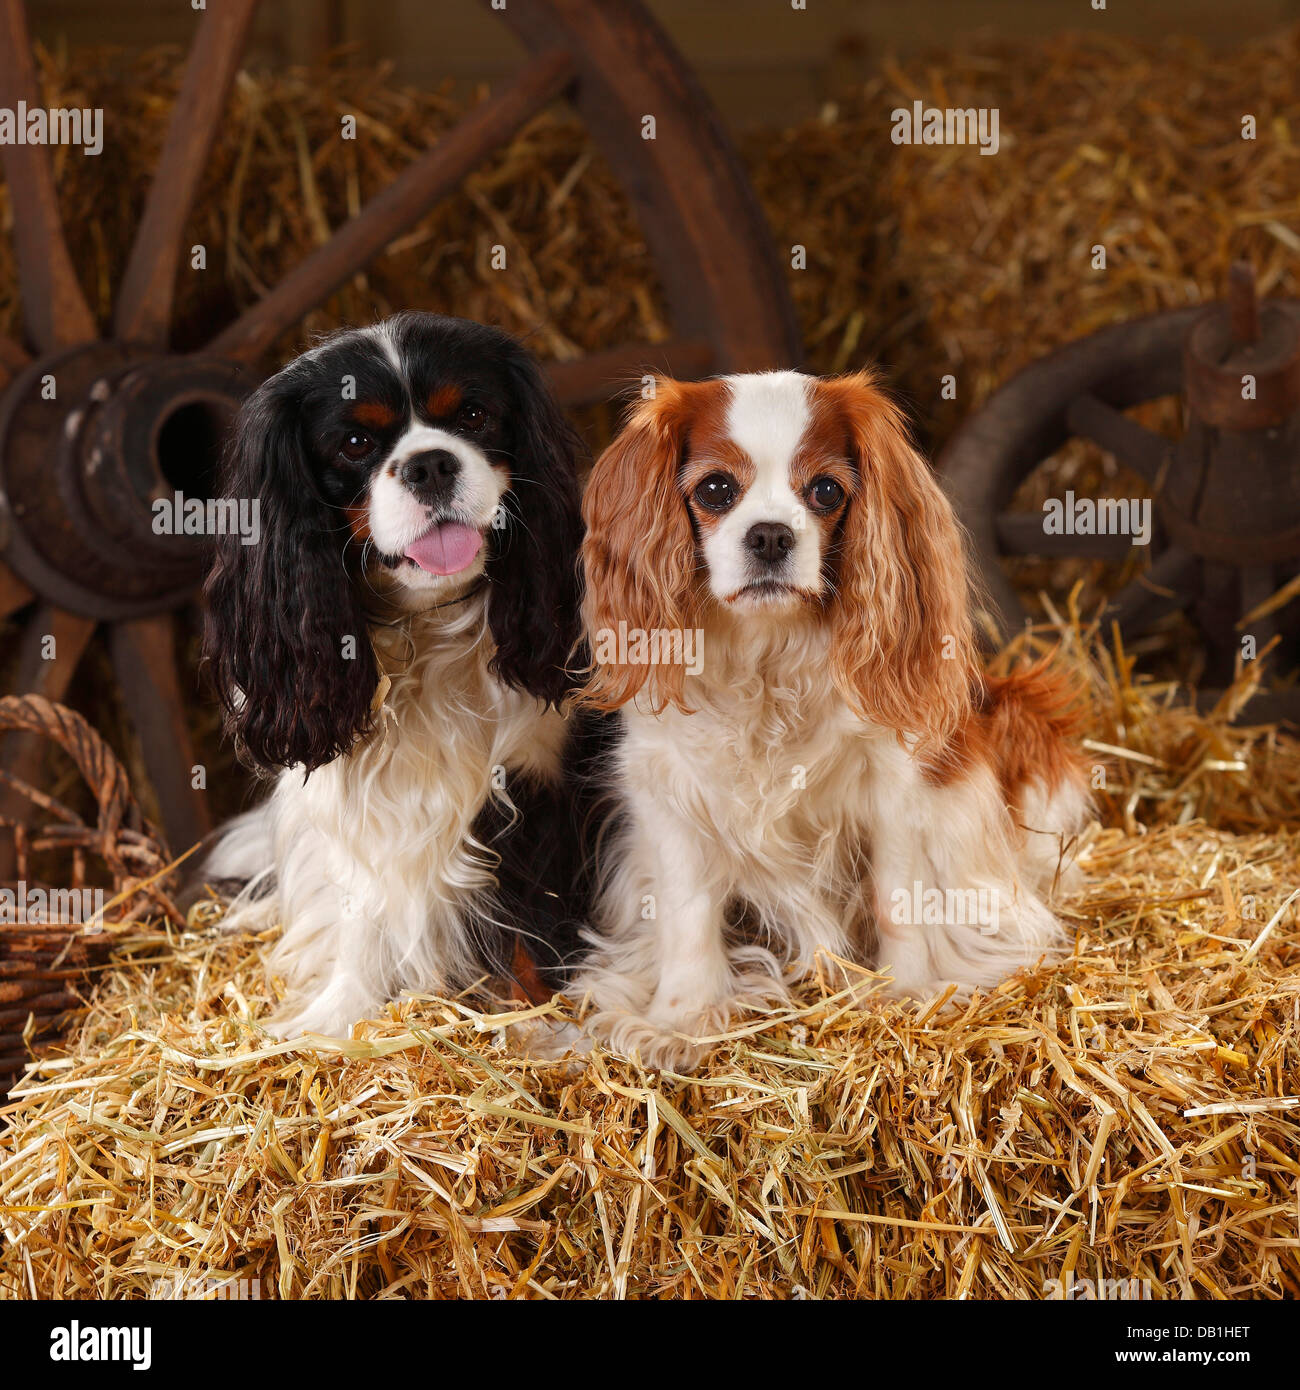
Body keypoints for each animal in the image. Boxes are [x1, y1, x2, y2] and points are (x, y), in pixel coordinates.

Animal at [202, 312, 589, 1034]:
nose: (429, 463)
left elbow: (528, 926)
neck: (425, 628)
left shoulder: (535, 784)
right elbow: (362, 906)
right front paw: (335, 1018)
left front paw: (540, 1023)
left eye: (473, 414)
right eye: (355, 442)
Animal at [575, 366, 1090, 1061]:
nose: (771, 534)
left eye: (825, 490)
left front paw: (906, 993)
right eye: (715, 489)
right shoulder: (668, 789)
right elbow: (686, 911)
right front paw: (682, 1020)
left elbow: (898, 896)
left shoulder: (896, 785)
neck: (768, 654)